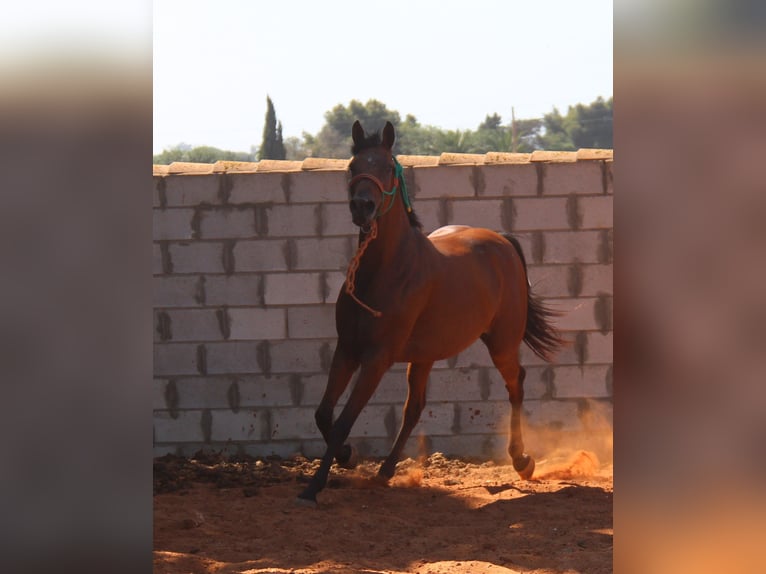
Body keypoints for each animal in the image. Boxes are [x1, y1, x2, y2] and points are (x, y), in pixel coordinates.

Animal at [296, 119, 564, 506]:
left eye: (387, 167)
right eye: (352, 166)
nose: (362, 206)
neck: (386, 270)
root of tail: (502, 241)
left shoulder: (377, 358)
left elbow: (344, 420)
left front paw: (313, 486)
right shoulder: (346, 349)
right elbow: (323, 414)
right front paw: (347, 456)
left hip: (501, 343)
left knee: (516, 384)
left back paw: (522, 461)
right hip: (424, 356)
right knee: (415, 408)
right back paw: (386, 470)